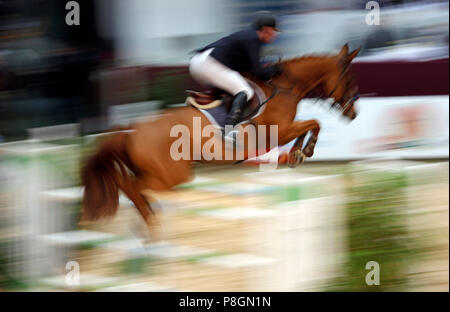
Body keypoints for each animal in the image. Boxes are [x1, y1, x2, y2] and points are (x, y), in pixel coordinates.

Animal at [81, 44, 362, 234]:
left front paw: (296, 154)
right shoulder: (279, 130)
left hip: (161, 173)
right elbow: (315, 123)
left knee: (125, 183)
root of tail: (132, 131)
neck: (285, 87)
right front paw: (305, 151)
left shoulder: (284, 130)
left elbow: (308, 126)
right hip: (171, 175)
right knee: (132, 186)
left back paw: (147, 218)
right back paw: (150, 222)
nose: (354, 113)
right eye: (348, 78)